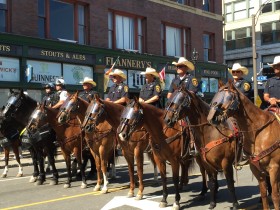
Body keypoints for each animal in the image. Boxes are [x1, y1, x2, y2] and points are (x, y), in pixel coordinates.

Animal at [208, 82, 280, 210]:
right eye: (216, 96)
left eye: (229, 97)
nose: (212, 117)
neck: (258, 132)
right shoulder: (257, 170)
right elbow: (264, 194)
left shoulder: (274, 168)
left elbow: (276, 197)